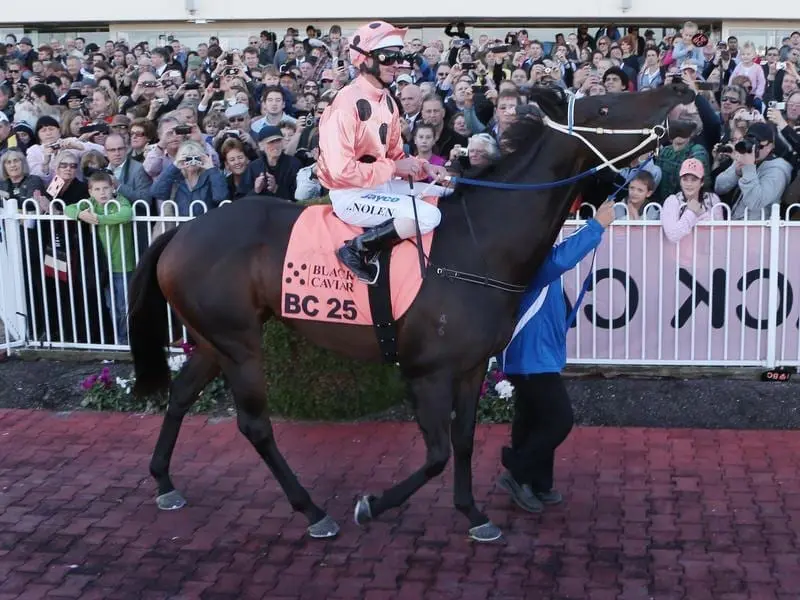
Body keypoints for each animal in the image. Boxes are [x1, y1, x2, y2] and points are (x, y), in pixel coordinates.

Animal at [126, 83, 692, 544]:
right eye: (604, 107)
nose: (681, 92)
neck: (478, 244)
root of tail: (182, 231)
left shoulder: (469, 368)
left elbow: (463, 442)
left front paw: (474, 514)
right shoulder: (426, 371)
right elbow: (438, 454)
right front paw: (372, 504)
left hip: (215, 338)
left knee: (181, 394)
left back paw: (163, 480)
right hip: (239, 343)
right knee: (255, 425)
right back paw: (313, 511)